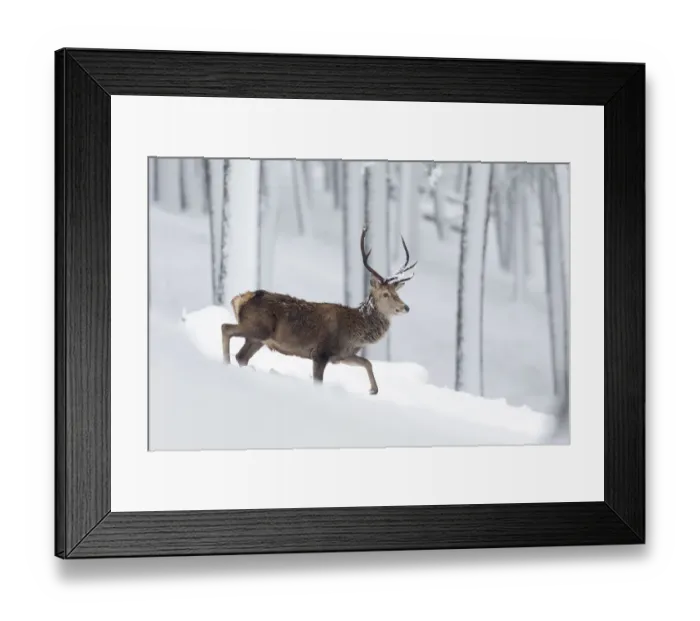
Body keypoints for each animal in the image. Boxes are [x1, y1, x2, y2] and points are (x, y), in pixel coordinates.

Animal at [220, 227, 416, 395]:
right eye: (385, 294)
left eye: (397, 293)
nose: (405, 307)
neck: (354, 332)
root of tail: (239, 299)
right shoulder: (320, 352)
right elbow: (318, 382)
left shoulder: (341, 355)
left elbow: (367, 362)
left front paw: (373, 390)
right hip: (258, 327)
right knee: (225, 328)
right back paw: (225, 364)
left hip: (258, 339)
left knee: (242, 357)